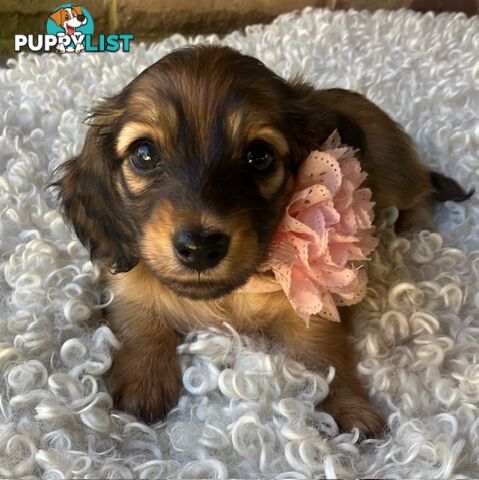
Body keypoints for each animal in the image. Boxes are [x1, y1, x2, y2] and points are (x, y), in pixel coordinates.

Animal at [54, 46, 470, 436]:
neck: (227, 297)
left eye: (259, 155)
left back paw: (414, 226)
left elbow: (326, 355)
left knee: (421, 188)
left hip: (395, 173)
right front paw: (144, 377)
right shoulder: (125, 277)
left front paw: (349, 408)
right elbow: (138, 317)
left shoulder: (313, 307)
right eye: (143, 153)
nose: (200, 247)